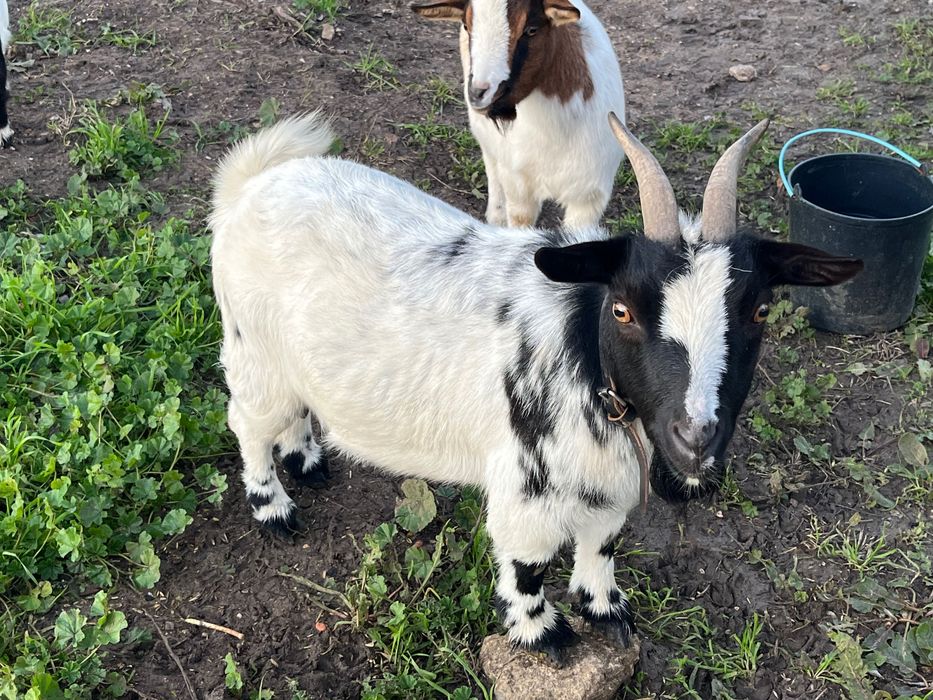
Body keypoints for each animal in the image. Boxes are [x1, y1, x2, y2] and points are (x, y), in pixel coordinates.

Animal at [210, 113, 861, 661]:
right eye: (622, 309)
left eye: (759, 312)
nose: (696, 436)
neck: (584, 356)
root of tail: (251, 183)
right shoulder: (528, 488)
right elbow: (528, 564)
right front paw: (542, 633)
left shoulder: (606, 489)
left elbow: (601, 545)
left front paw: (606, 610)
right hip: (254, 354)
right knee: (246, 424)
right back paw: (273, 508)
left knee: (292, 414)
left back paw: (307, 460)